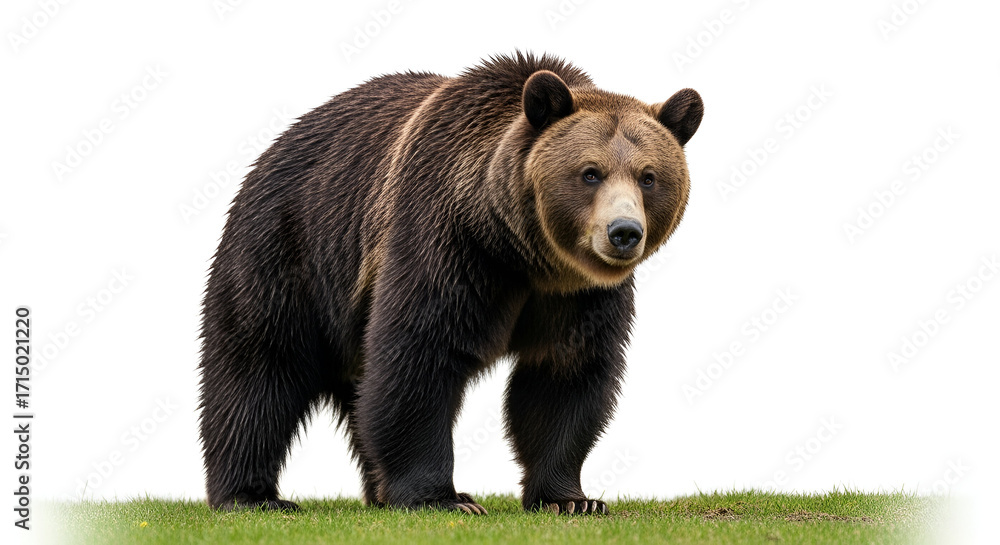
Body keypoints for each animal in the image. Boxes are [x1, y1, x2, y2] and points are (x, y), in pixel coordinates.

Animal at [198, 52, 702, 515]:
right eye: (590, 172)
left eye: (649, 177)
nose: (624, 232)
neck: (521, 252)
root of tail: (275, 147)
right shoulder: (449, 242)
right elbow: (421, 354)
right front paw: (444, 498)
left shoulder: (580, 296)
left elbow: (566, 374)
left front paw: (572, 498)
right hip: (292, 249)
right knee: (258, 367)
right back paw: (252, 495)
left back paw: (374, 492)